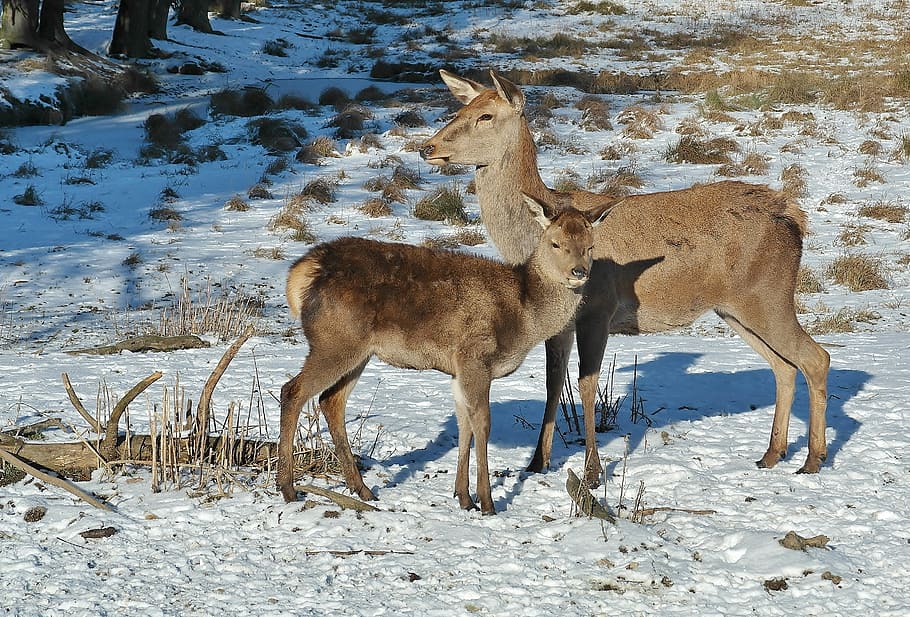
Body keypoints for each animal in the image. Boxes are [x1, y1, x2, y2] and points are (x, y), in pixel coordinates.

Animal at [277, 194, 611, 514]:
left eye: (590, 246)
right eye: (556, 243)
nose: (579, 272)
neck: (524, 314)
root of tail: (299, 275)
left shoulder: (458, 370)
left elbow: (465, 426)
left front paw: (463, 497)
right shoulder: (475, 356)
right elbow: (482, 424)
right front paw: (487, 502)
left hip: (357, 351)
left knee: (330, 400)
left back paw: (362, 489)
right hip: (335, 341)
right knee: (292, 390)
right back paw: (288, 488)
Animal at [420, 69, 831, 486]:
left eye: (485, 115)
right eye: (461, 107)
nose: (427, 146)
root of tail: (795, 218)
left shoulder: (598, 309)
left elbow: (586, 385)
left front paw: (593, 471)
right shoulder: (558, 324)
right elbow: (554, 383)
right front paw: (537, 462)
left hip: (769, 294)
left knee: (816, 357)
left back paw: (812, 458)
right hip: (735, 309)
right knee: (784, 366)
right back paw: (772, 453)